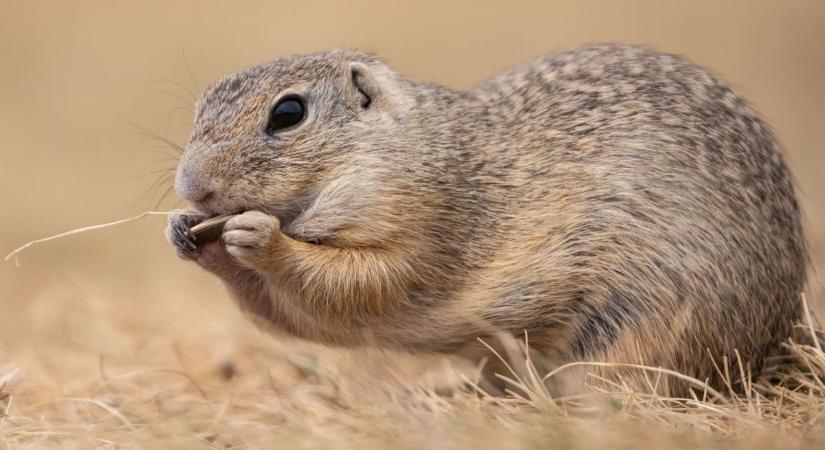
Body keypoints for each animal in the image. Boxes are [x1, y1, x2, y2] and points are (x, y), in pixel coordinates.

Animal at [166, 43, 804, 394]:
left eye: (289, 113)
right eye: (199, 108)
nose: (193, 187)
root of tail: (780, 339)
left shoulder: (426, 226)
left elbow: (356, 286)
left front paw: (260, 238)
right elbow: (289, 315)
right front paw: (185, 233)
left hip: (638, 330)